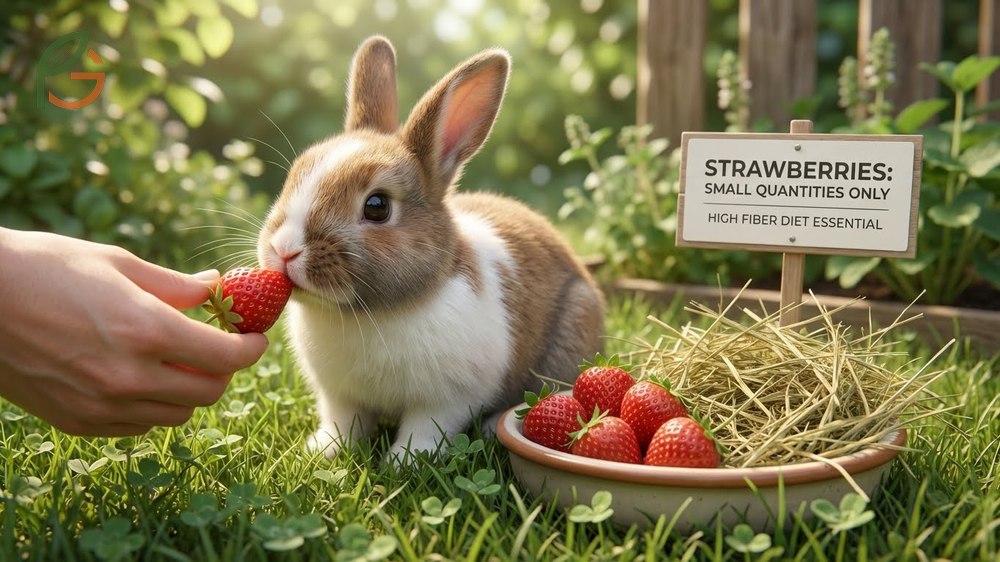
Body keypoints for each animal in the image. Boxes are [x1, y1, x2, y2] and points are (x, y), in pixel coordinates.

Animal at [256, 36, 605, 463]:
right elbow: (343, 422)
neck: (370, 313)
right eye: (295, 175)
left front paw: (405, 461)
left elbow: (424, 428)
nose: (284, 249)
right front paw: (324, 450)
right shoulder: (339, 395)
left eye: (377, 206)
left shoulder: (446, 399)